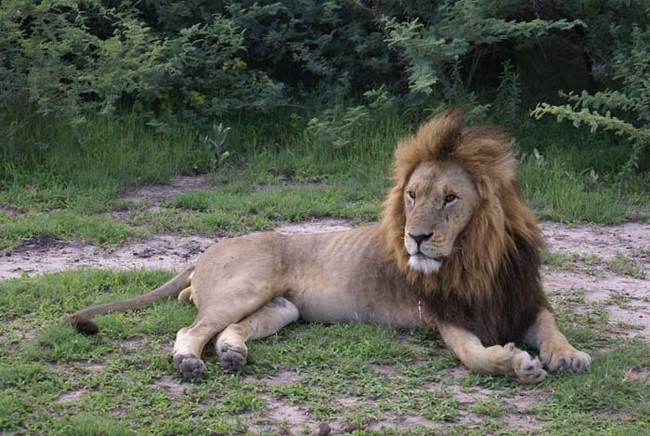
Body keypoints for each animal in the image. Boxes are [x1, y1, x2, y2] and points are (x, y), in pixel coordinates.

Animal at [64, 110, 591, 383]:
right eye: (412, 196)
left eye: (450, 199)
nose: (416, 238)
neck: (477, 256)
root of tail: (204, 251)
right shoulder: (446, 317)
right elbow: (475, 356)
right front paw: (519, 364)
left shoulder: (524, 299)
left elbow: (551, 327)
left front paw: (567, 355)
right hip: (246, 285)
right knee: (191, 330)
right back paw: (189, 362)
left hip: (283, 307)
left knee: (228, 330)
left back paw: (232, 354)